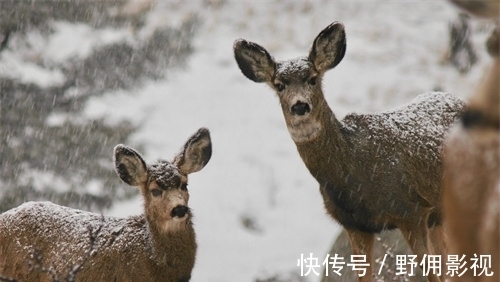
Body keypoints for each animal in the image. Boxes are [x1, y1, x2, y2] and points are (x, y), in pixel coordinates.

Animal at [234, 22, 464, 282]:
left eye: (312, 79)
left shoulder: (412, 211)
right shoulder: (355, 225)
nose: (300, 106)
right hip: (439, 215)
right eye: (279, 85)